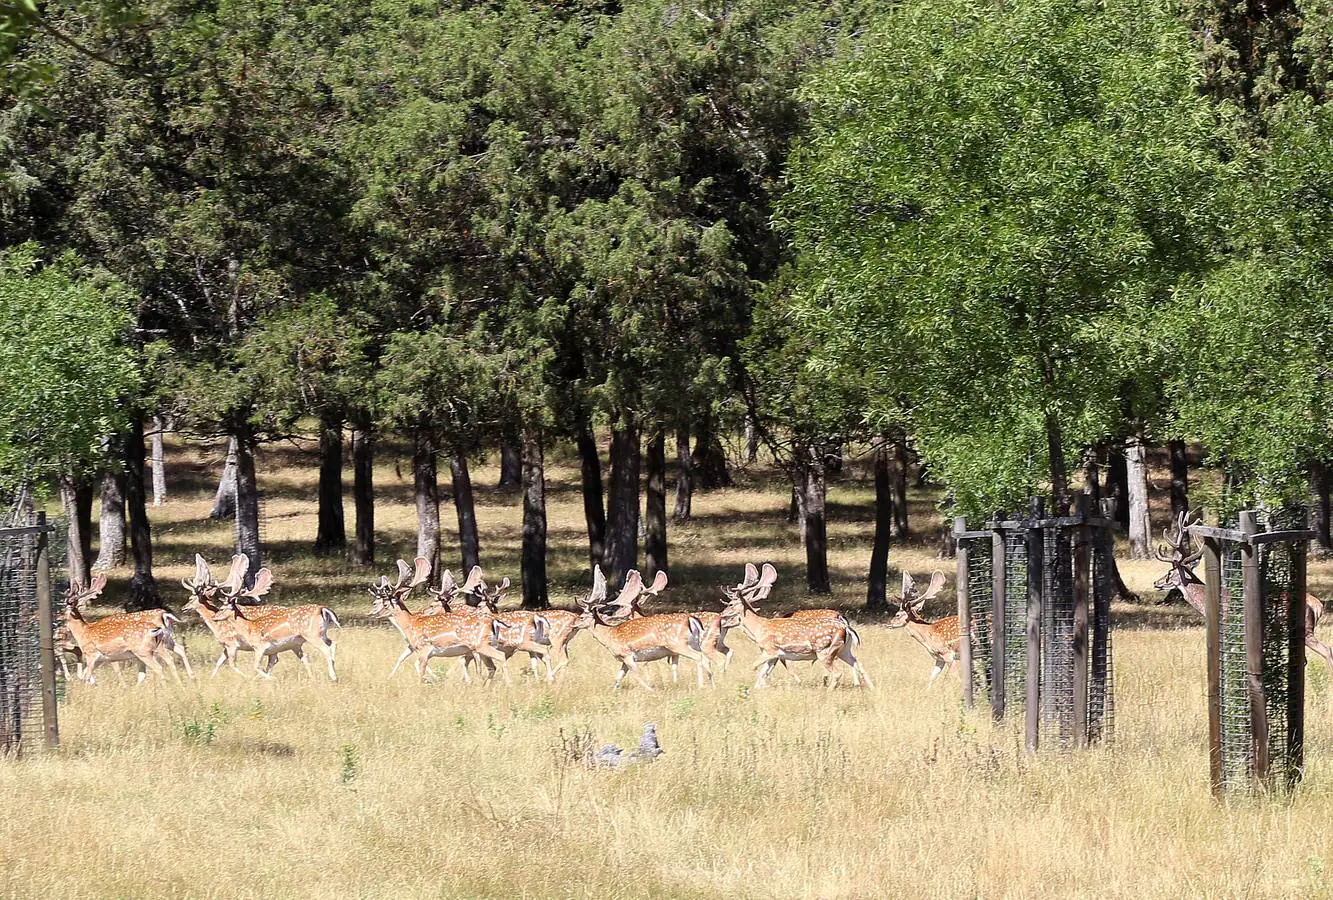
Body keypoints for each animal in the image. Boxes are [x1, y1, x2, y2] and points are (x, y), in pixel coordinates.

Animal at [1151, 506, 1327, 669]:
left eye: (1169, 572)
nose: (1155, 582)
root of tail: (1317, 604)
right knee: (1306, 659)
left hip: (1302, 628)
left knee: (1326, 650)